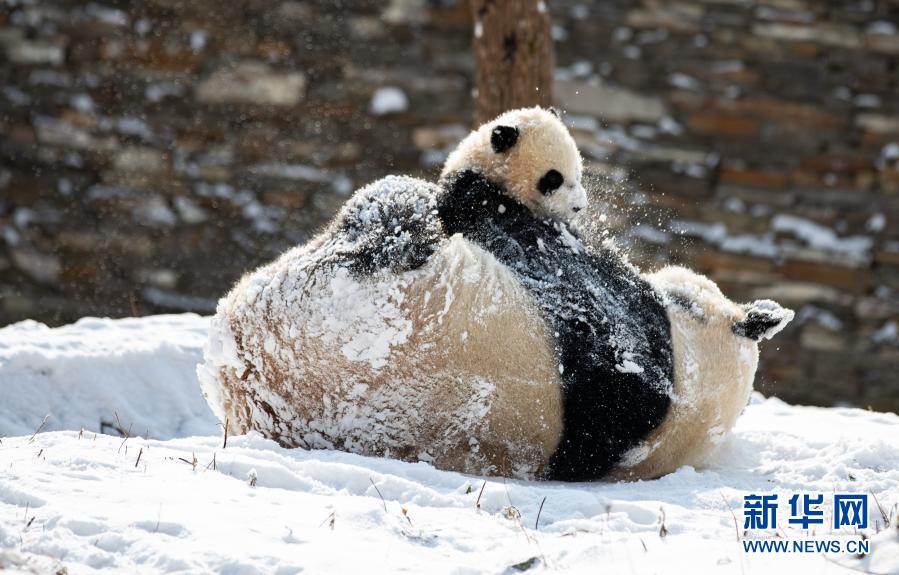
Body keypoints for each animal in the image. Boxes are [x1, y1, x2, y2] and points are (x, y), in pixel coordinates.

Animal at [199, 108, 796, 482]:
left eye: (689, 303)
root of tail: (237, 384)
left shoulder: (614, 340)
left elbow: (525, 241)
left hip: (341, 305)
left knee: (390, 209)